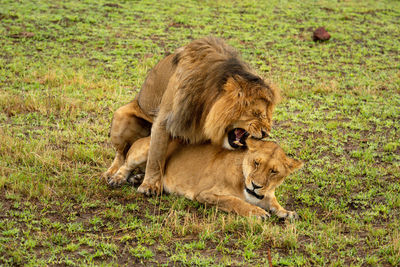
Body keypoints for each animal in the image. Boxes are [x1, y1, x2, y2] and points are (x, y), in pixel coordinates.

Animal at [104, 36, 280, 196]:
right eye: (256, 113)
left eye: (268, 116)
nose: (266, 133)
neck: (207, 101)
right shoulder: (165, 119)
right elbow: (156, 156)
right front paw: (150, 186)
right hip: (121, 117)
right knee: (122, 154)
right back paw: (114, 175)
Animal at [108, 138, 302, 220]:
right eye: (256, 163)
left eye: (273, 171)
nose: (255, 185)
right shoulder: (204, 194)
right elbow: (234, 201)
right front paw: (257, 212)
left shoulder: (267, 195)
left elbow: (274, 203)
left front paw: (287, 212)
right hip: (148, 151)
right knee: (125, 165)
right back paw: (118, 179)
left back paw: (139, 179)